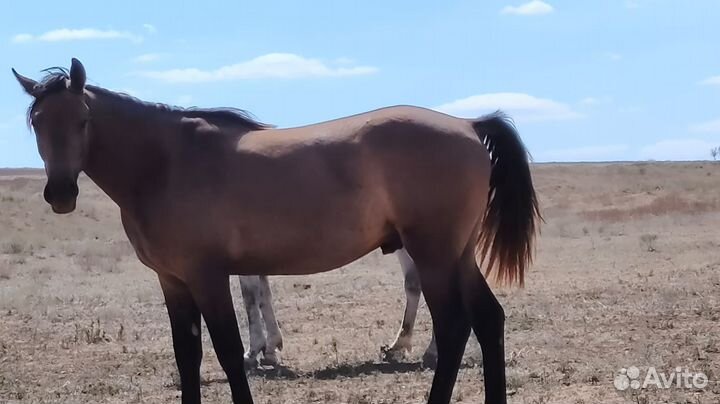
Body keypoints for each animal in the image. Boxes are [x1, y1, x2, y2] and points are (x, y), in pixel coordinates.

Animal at [12, 58, 540, 404]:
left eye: (82, 120)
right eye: (37, 122)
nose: (61, 193)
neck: (164, 162)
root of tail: (468, 124)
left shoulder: (208, 277)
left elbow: (228, 351)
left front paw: (260, 355)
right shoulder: (173, 281)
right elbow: (188, 354)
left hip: (433, 256)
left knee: (454, 328)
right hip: (458, 256)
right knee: (488, 320)